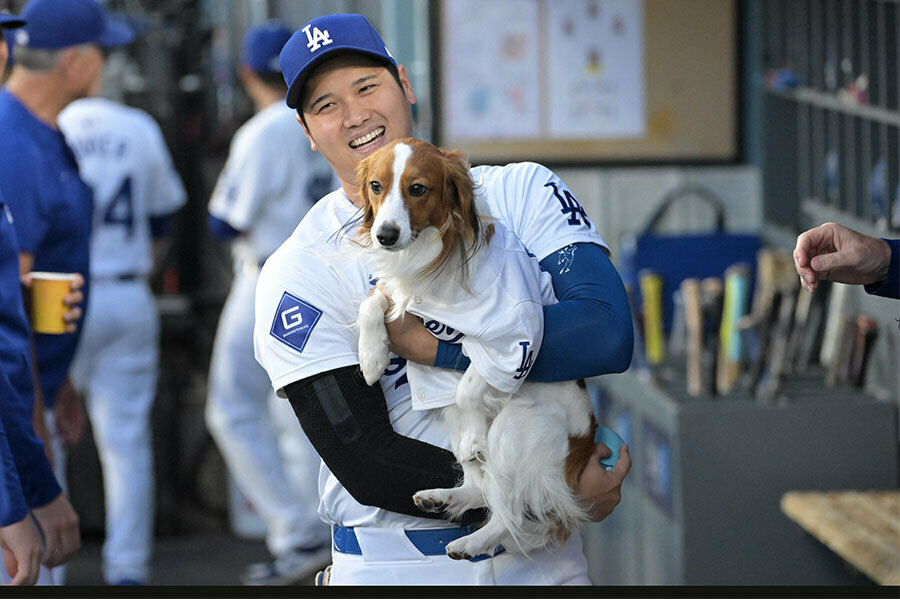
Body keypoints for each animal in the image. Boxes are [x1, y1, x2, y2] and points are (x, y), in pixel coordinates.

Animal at [354, 138, 596, 560]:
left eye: (417, 188)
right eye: (376, 186)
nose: (385, 234)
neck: (431, 252)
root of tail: (586, 439)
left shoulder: (515, 337)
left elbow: (470, 382)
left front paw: (473, 434)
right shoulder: (396, 294)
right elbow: (372, 304)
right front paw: (372, 355)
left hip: (516, 426)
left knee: (510, 506)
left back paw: (474, 540)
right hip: (455, 419)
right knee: (482, 486)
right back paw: (445, 497)